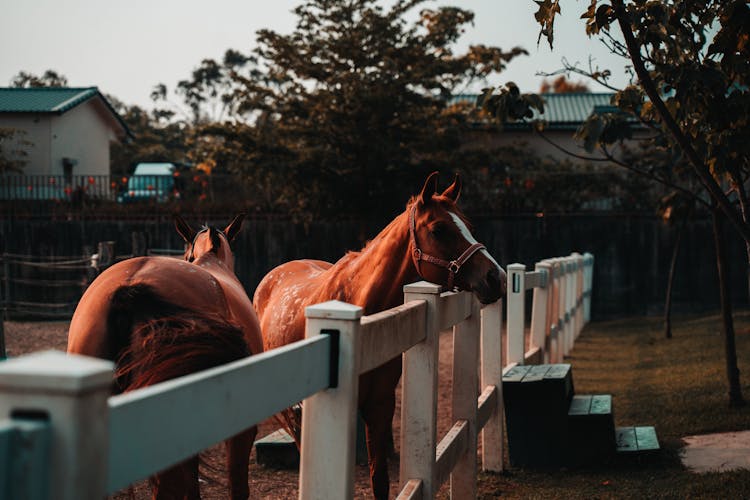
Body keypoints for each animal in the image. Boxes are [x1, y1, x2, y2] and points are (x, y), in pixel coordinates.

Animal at [256, 173, 508, 500]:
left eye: (469, 226)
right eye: (439, 229)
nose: (497, 277)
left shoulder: (380, 405)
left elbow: (380, 481)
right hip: (293, 412)